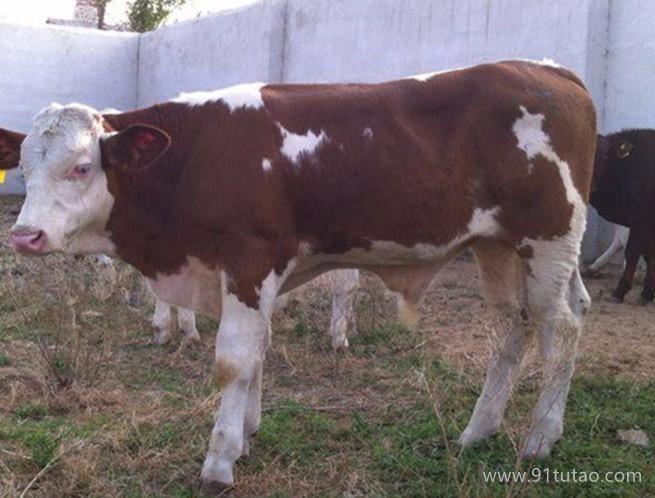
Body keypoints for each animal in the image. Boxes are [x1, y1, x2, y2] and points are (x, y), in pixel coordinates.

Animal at [0, 59, 596, 490]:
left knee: (563, 330)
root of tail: (547, 70)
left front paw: (219, 461)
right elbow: (259, 351)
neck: (193, 157)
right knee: (514, 328)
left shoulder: (249, 260)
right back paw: (480, 429)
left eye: (82, 167)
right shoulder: (255, 274)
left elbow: (234, 361)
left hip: (548, 240)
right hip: (498, 249)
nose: (25, 235)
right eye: (24, 168)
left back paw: (541, 436)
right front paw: (246, 433)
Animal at [588, 128, 655, 304]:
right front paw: (648, 292)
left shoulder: (642, 219)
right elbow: (648, 253)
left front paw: (620, 291)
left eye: (604, 157)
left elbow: (633, 251)